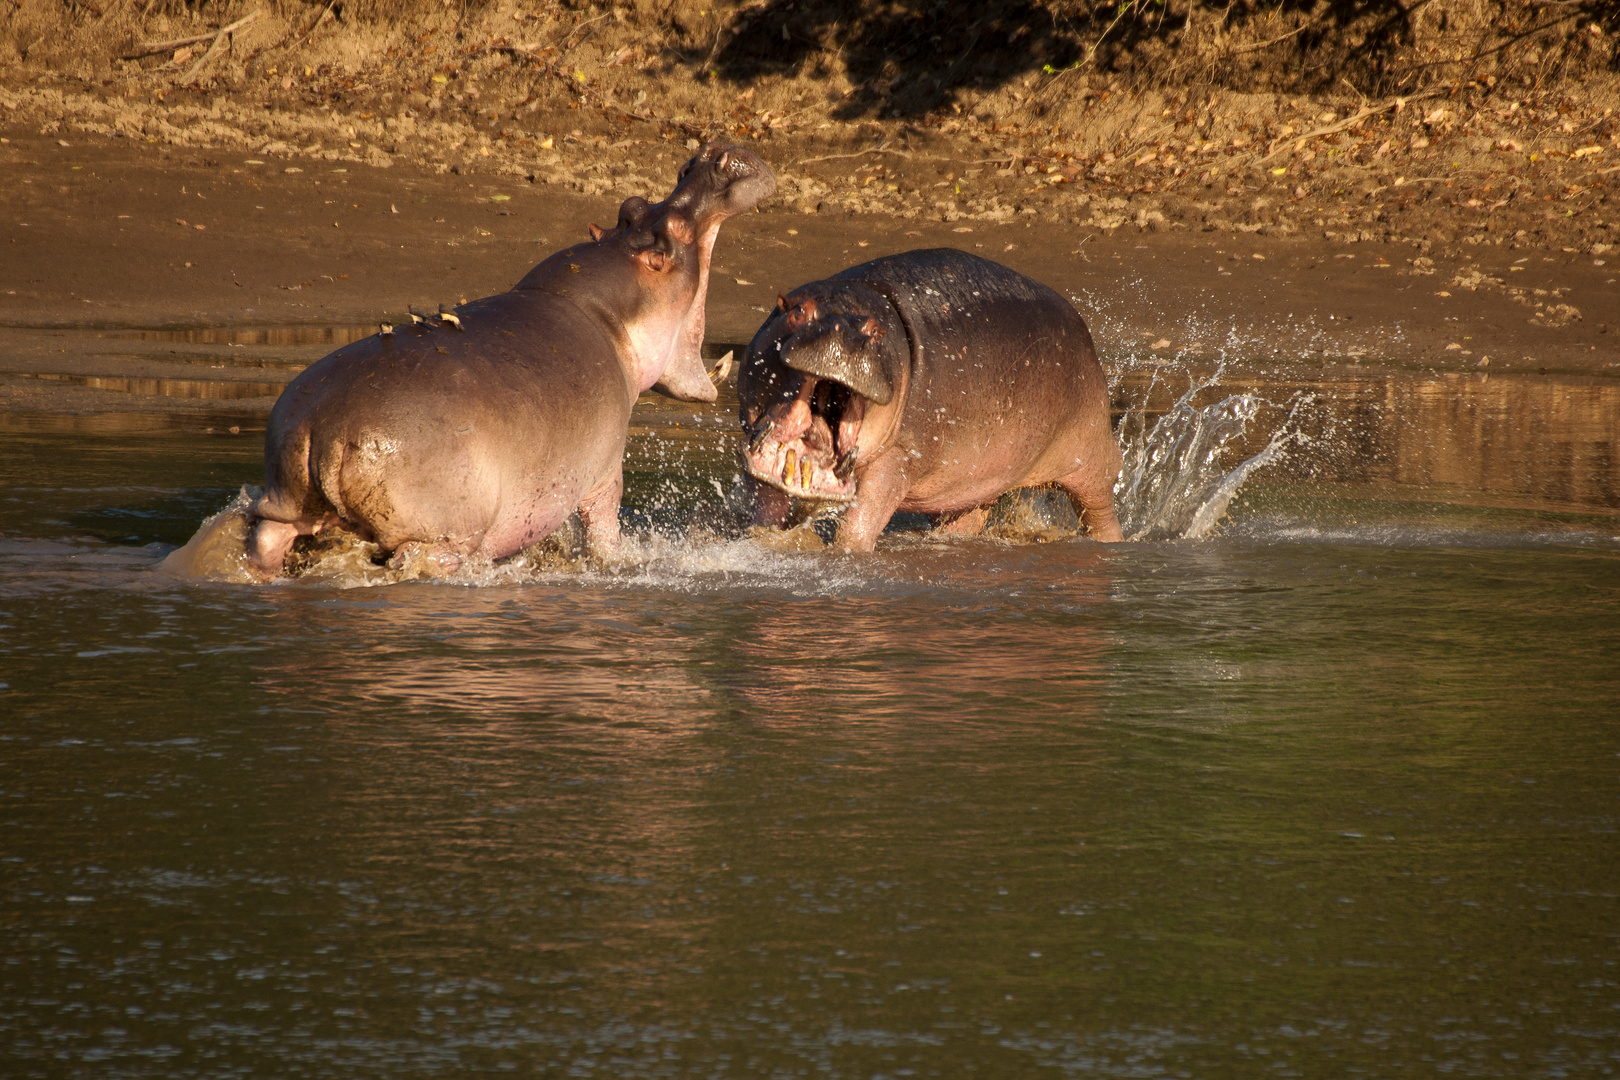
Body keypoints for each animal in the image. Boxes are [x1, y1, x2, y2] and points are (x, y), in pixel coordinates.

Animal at [244, 146, 777, 579]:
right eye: (673, 234)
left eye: (633, 207)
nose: (713, 156)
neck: (604, 311)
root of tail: (325, 426)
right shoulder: (604, 473)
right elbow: (603, 534)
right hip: (441, 535)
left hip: (285, 502)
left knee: (267, 537)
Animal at [741, 247, 1121, 550]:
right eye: (798, 311)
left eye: (876, 331)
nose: (842, 336)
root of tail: (1083, 328)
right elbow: (766, 509)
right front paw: (763, 542)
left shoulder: (899, 457)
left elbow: (863, 520)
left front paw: (847, 553)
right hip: (974, 484)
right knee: (965, 520)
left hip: (1092, 455)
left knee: (1101, 511)